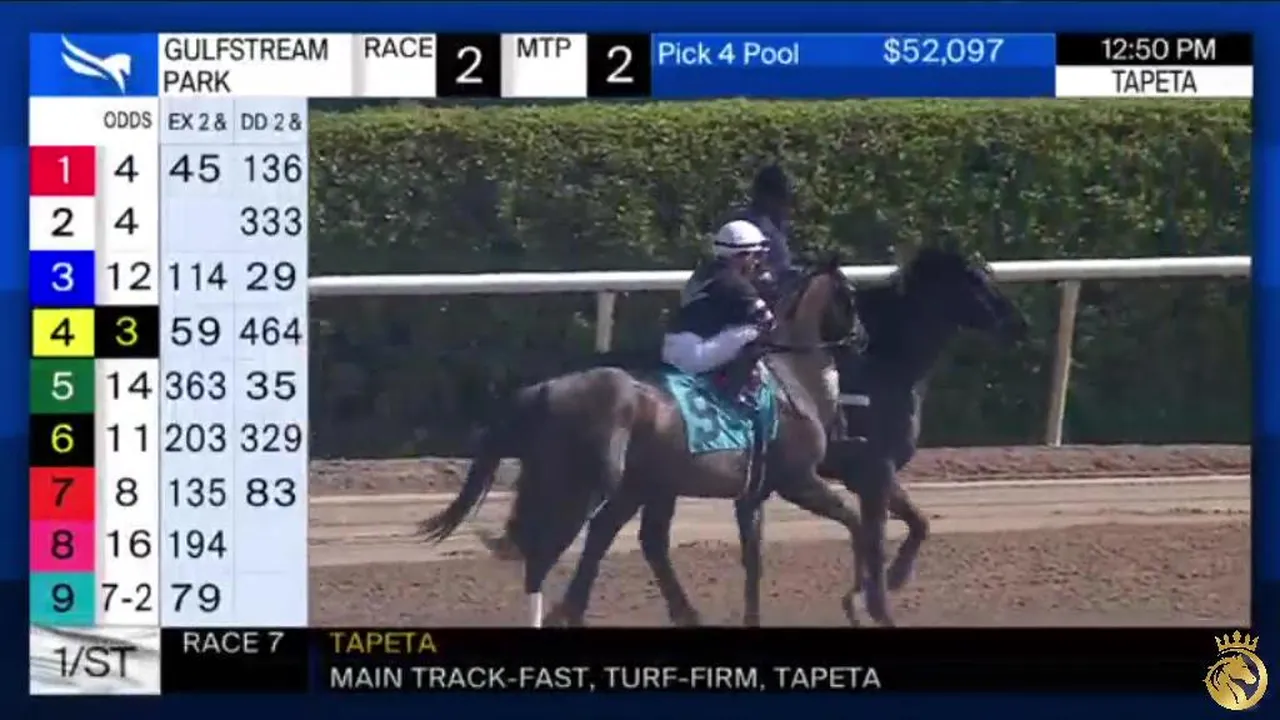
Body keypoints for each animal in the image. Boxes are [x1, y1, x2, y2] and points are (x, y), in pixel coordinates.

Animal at [418, 255, 869, 627]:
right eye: (850, 295)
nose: (861, 338)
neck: (791, 376)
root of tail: (543, 389)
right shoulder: (798, 480)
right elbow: (854, 520)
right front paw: (858, 603)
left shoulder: (752, 494)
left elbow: (754, 559)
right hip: (586, 485)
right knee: (548, 550)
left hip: (636, 484)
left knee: (605, 537)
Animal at [819, 246, 1028, 627]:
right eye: (977, 280)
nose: (1018, 324)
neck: (884, 366)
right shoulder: (875, 471)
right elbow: (875, 541)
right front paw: (877, 601)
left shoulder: (870, 474)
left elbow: (919, 523)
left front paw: (884, 584)